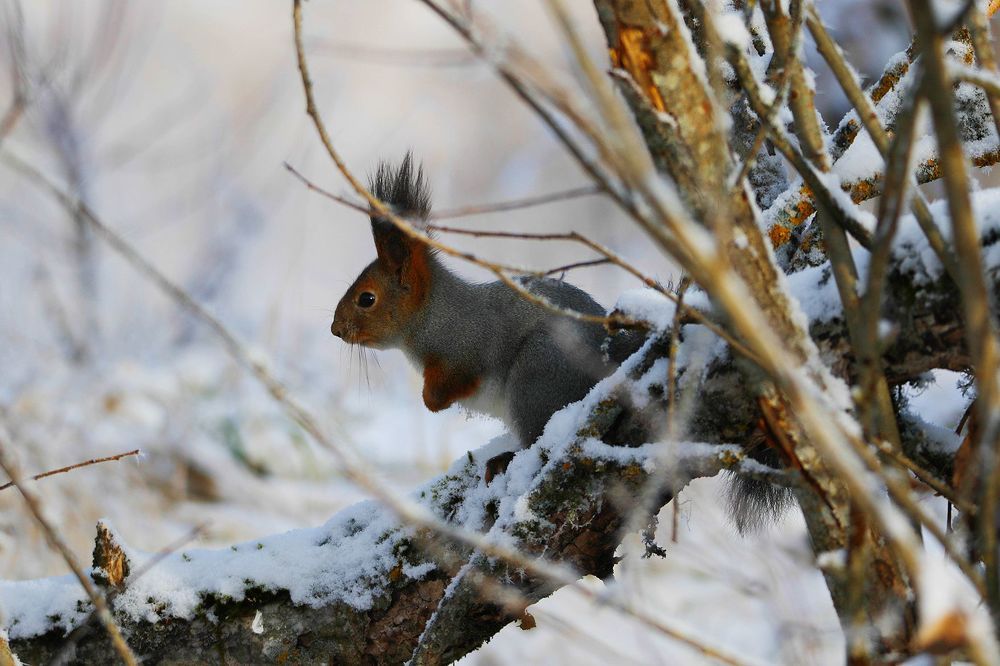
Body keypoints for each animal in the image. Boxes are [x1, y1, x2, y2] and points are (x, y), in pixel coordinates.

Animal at [330, 154, 623, 475]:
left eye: (366, 299)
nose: (335, 329)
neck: (432, 315)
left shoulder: (469, 345)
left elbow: (459, 378)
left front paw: (433, 400)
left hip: (539, 373)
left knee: (537, 436)